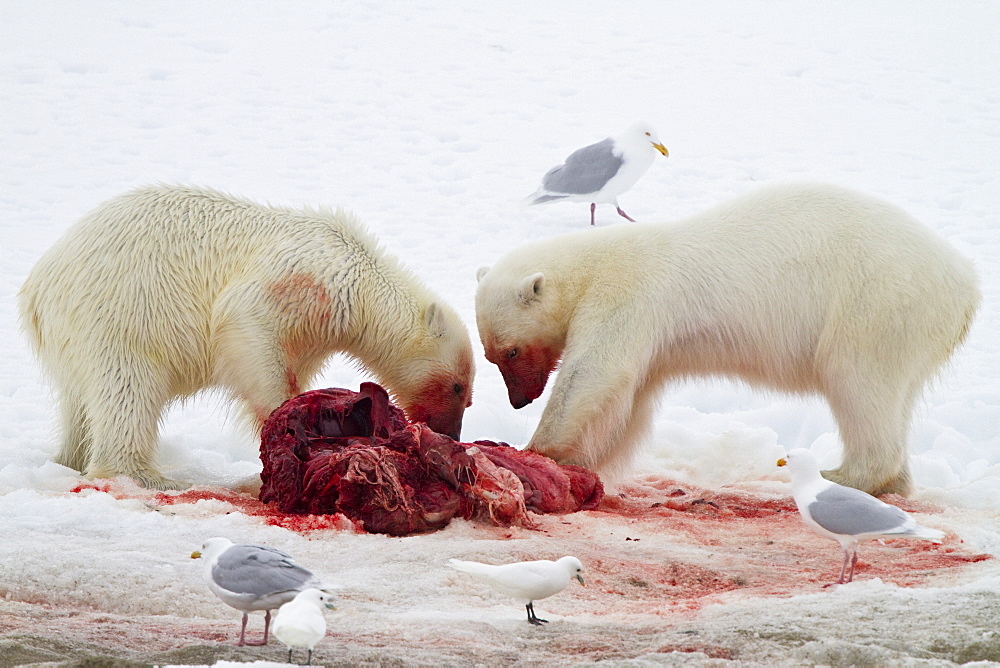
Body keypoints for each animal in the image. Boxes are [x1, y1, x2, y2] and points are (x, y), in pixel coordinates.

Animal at [21, 185, 474, 488]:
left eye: (467, 396)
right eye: (457, 387)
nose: (452, 435)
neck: (361, 278)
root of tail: (38, 286)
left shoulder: (314, 330)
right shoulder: (304, 282)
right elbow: (246, 329)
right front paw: (289, 421)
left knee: (80, 401)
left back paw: (69, 458)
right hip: (121, 311)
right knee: (127, 388)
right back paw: (145, 475)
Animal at [474, 183, 976, 496]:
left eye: (511, 350)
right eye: (491, 356)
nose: (518, 401)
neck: (594, 264)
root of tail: (965, 283)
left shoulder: (627, 297)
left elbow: (593, 372)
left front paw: (535, 452)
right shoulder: (653, 343)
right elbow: (626, 404)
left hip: (875, 303)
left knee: (856, 378)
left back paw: (842, 475)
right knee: (895, 397)